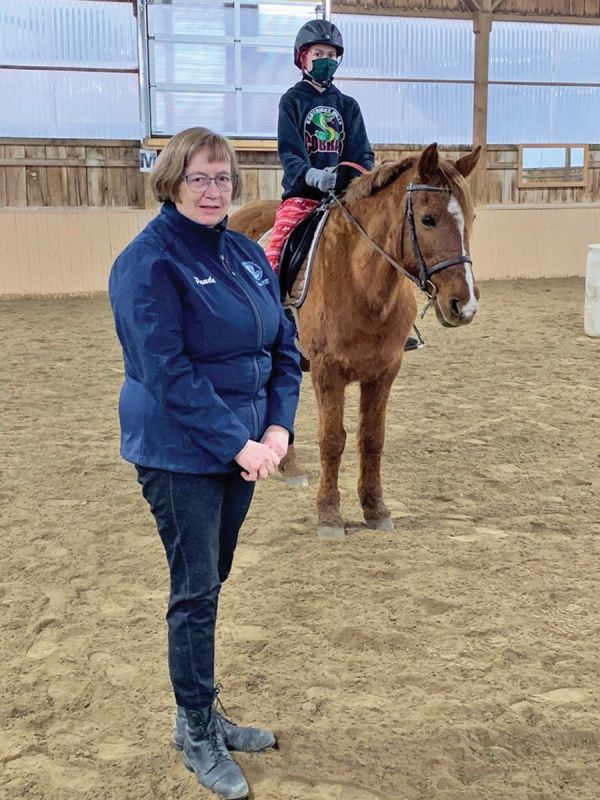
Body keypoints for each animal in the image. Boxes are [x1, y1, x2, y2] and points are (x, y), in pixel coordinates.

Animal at [229, 143, 481, 539]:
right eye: (428, 219)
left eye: (470, 218)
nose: (464, 305)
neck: (361, 283)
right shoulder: (327, 371)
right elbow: (332, 440)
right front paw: (329, 514)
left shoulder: (384, 371)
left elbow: (372, 439)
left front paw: (375, 509)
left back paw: (289, 466)